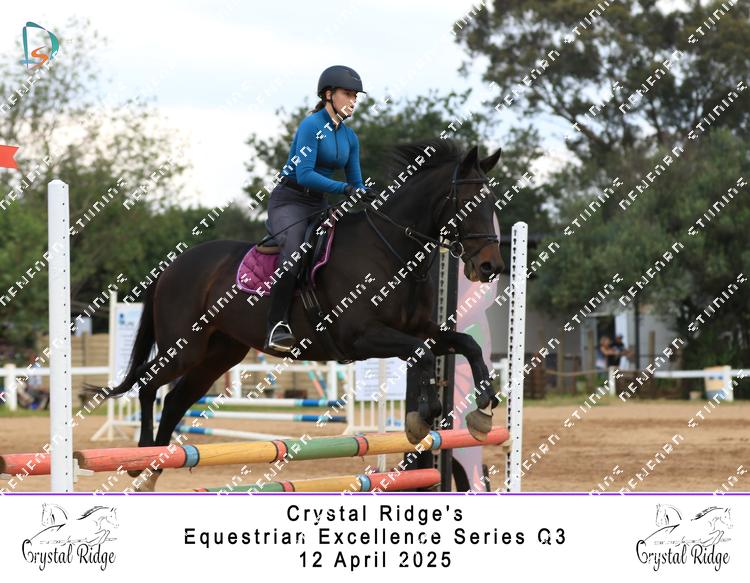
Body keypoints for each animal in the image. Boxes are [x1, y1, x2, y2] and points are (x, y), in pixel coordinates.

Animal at [89, 139, 505, 491]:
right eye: (469, 201)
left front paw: (483, 410)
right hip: (184, 346)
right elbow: (422, 354)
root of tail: (172, 266)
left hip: (220, 353)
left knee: (175, 400)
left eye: (493, 202)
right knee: (148, 384)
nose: (491, 267)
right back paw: (141, 456)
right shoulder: (362, 336)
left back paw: (156, 465)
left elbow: (463, 344)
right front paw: (423, 419)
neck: (391, 250)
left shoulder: (422, 328)